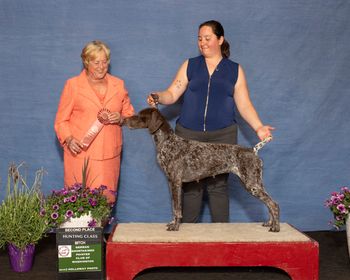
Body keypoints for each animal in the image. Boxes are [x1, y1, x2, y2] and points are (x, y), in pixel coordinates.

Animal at [124, 107, 280, 232]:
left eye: (140, 115)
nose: (124, 120)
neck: (166, 141)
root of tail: (253, 150)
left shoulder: (175, 182)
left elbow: (177, 208)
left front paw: (175, 226)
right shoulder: (171, 182)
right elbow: (174, 206)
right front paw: (172, 223)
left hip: (252, 184)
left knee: (273, 204)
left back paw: (275, 227)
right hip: (255, 183)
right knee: (269, 203)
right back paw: (269, 223)